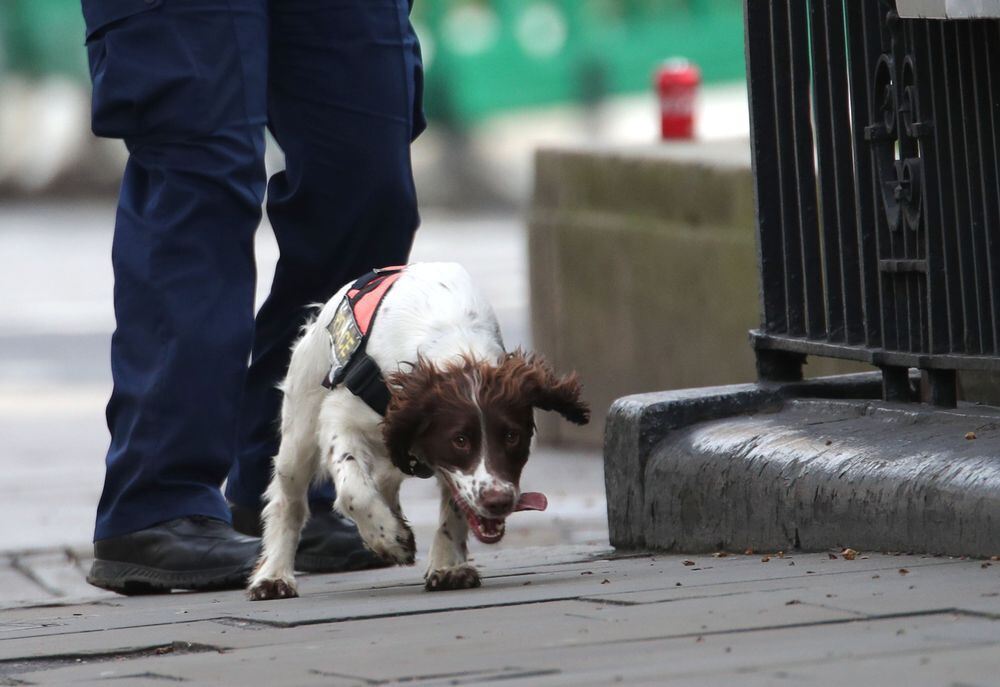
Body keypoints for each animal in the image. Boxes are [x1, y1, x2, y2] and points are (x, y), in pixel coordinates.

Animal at [248, 260, 584, 600]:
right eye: (459, 440)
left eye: (512, 436)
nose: (498, 501)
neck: (453, 345)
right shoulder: (341, 417)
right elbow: (354, 490)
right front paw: (390, 538)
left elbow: (455, 503)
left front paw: (448, 566)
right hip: (299, 432)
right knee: (288, 502)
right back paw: (273, 575)